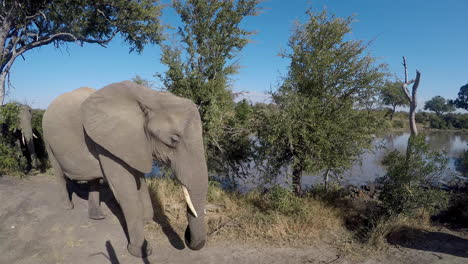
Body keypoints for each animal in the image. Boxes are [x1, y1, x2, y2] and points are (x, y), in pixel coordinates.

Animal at [42, 81, 208, 258]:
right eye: (174, 139)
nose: (187, 235)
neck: (151, 97)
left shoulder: (135, 142)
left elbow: (139, 180)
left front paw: (145, 219)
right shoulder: (109, 141)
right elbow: (125, 191)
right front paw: (141, 251)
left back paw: (97, 217)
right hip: (48, 138)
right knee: (59, 173)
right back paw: (68, 207)